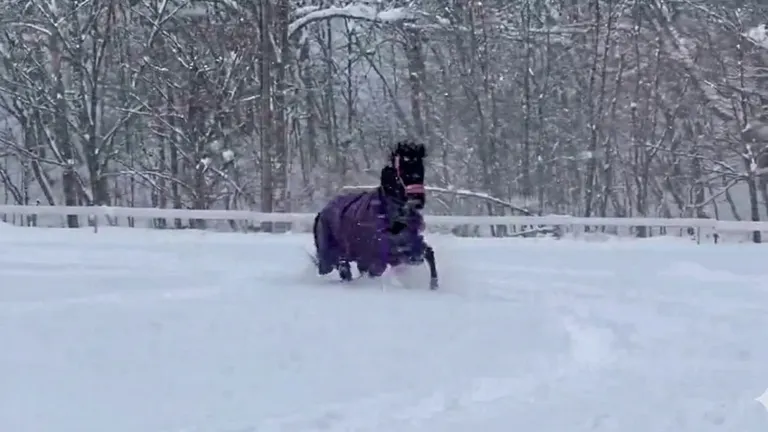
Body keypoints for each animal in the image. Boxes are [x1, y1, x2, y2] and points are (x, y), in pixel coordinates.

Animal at [312, 141, 439, 289]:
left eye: (421, 168)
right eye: (403, 169)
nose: (418, 200)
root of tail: (322, 212)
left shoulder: (409, 246)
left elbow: (428, 253)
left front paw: (434, 285)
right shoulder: (377, 256)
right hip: (333, 255)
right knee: (342, 269)